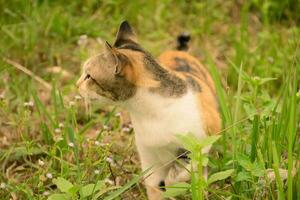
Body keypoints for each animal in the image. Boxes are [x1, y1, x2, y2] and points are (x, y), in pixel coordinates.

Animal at [76, 21, 221, 199]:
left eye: (89, 76)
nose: (77, 85)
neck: (151, 113)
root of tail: (180, 52)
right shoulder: (149, 158)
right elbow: (155, 186)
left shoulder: (201, 141)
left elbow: (180, 171)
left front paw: (174, 185)